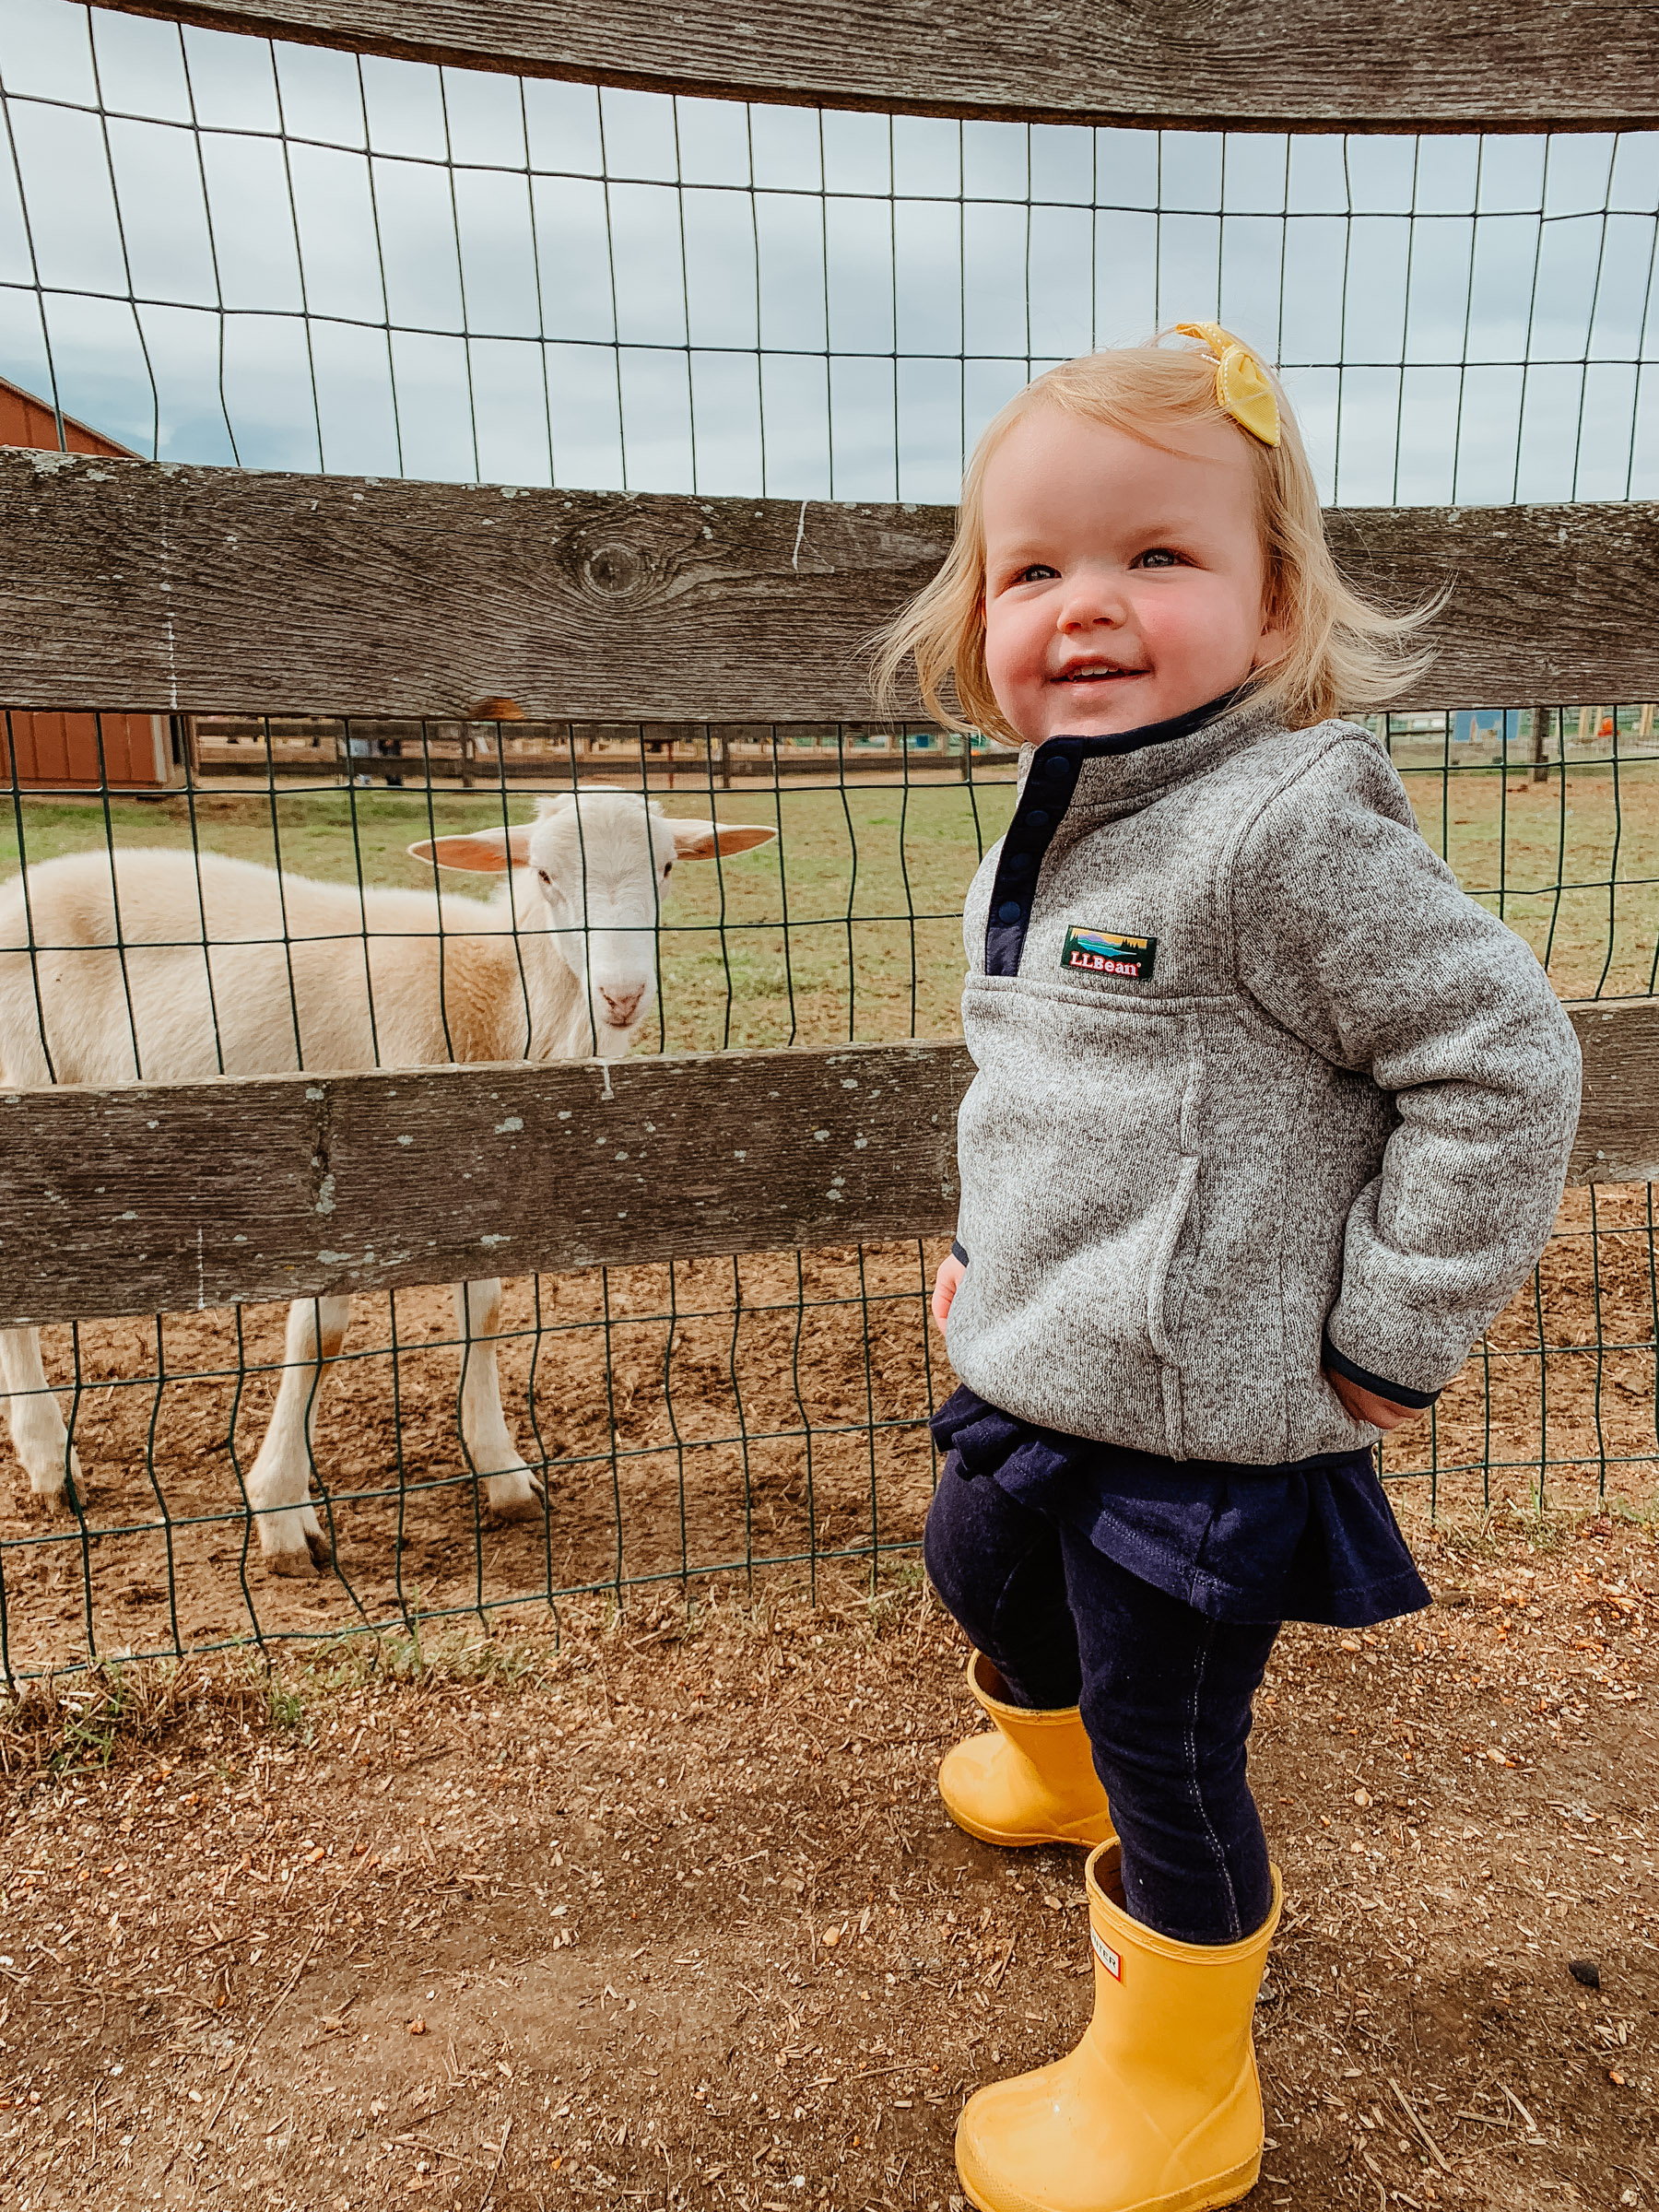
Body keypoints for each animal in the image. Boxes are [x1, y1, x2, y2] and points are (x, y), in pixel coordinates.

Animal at [0, 796, 778, 1574]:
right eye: (544, 873)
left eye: (668, 867)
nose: (621, 995)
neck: (497, 990)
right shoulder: (351, 1181)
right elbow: (321, 1335)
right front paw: (281, 1514)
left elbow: (484, 1312)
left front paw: (504, 1474)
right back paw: (50, 1461)